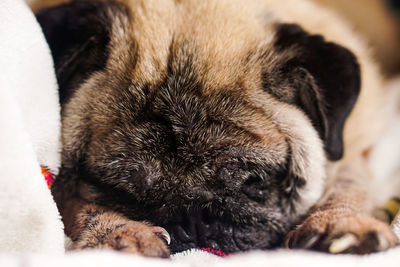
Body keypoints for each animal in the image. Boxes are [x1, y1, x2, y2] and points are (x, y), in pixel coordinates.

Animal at [34, 0, 400, 258]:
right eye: (119, 189)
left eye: (256, 182)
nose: (192, 221)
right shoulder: (61, 185)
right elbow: (80, 204)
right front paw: (118, 234)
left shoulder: (354, 150)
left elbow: (349, 184)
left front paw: (341, 225)